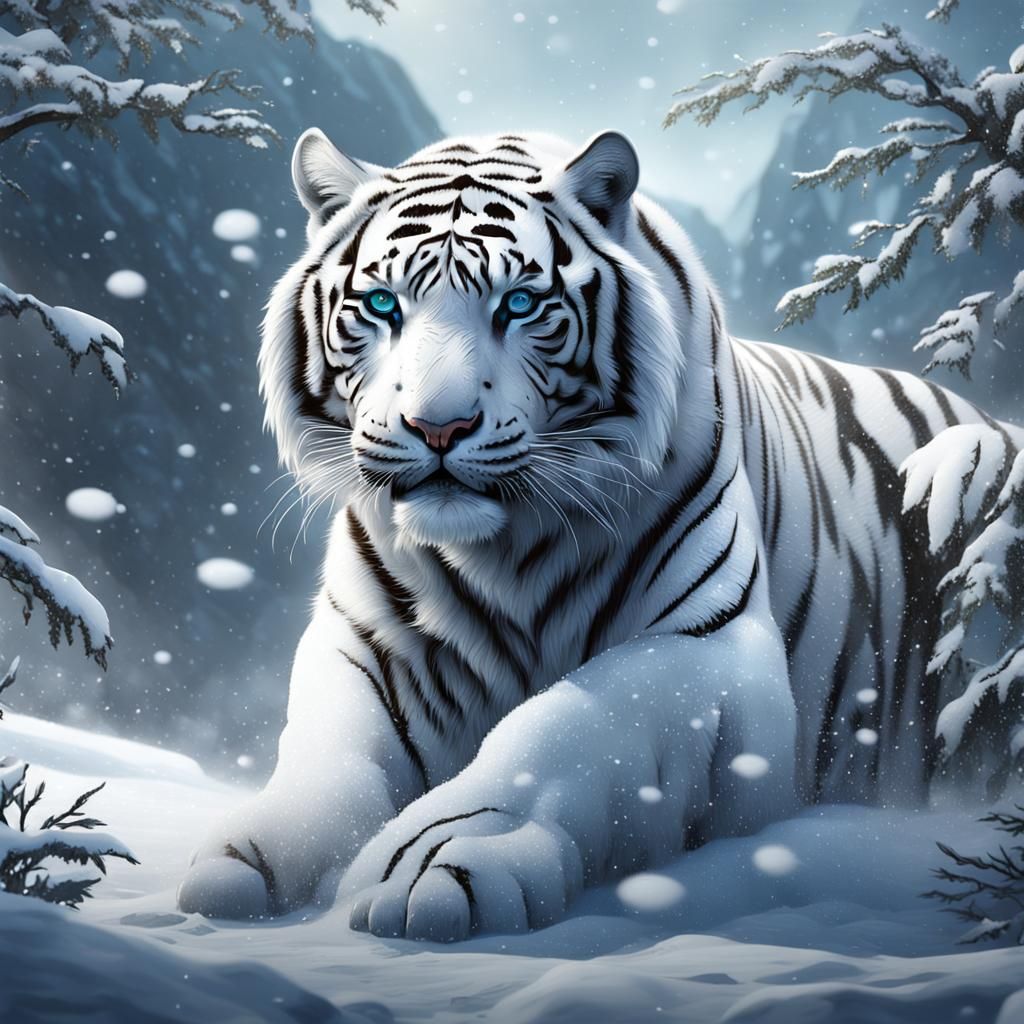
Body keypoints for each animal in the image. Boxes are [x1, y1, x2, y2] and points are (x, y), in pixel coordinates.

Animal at [177, 128, 1023, 940]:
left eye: (519, 304)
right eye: (384, 305)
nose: (439, 426)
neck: (502, 550)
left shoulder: (710, 644)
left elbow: (565, 724)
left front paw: (434, 861)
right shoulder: (364, 640)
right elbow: (329, 752)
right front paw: (252, 855)